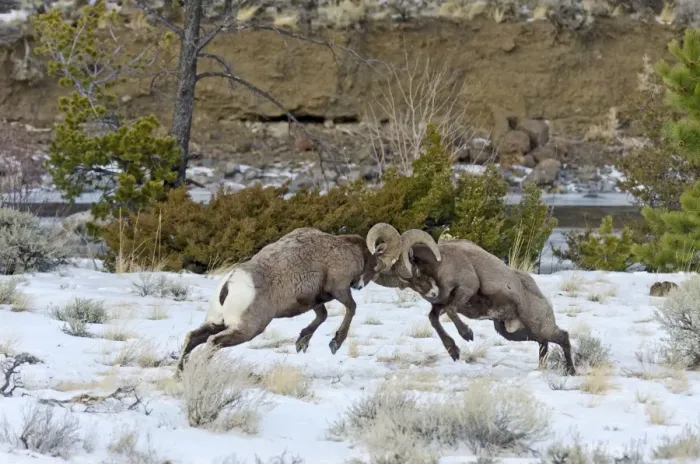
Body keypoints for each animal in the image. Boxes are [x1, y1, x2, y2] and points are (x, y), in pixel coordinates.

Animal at [175, 223, 404, 373]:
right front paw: (335, 344)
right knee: (213, 342)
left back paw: (180, 374)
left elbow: (321, 316)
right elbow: (351, 308)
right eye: (376, 265)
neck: (347, 250)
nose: (358, 285)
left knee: (193, 337)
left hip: (218, 322)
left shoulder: (314, 301)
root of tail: (230, 284)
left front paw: (301, 342)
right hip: (247, 330)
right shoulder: (339, 289)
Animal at [374, 228, 576, 375]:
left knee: (563, 337)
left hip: (538, 328)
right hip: (514, 333)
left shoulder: (465, 290)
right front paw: (454, 351)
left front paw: (467, 335)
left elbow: (451, 311)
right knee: (544, 343)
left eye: (416, 270)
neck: (441, 263)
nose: (432, 293)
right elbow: (434, 319)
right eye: (407, 283)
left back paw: (571, 371)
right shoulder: (439, 305)